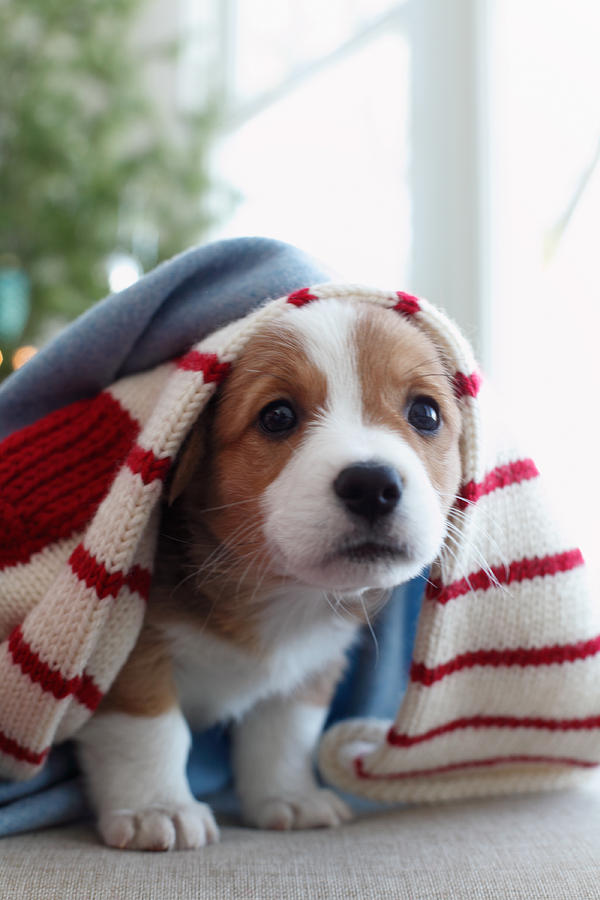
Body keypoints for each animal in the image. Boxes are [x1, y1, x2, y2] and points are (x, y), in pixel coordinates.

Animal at [75, 298, 460, 852]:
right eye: (277, 416)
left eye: (425, 413)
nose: (372, 485)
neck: (279, 599)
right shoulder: (123, 656)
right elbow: (149, 729)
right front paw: (159, 806)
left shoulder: (309, 668)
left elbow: (284, 734)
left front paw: (288, 797)